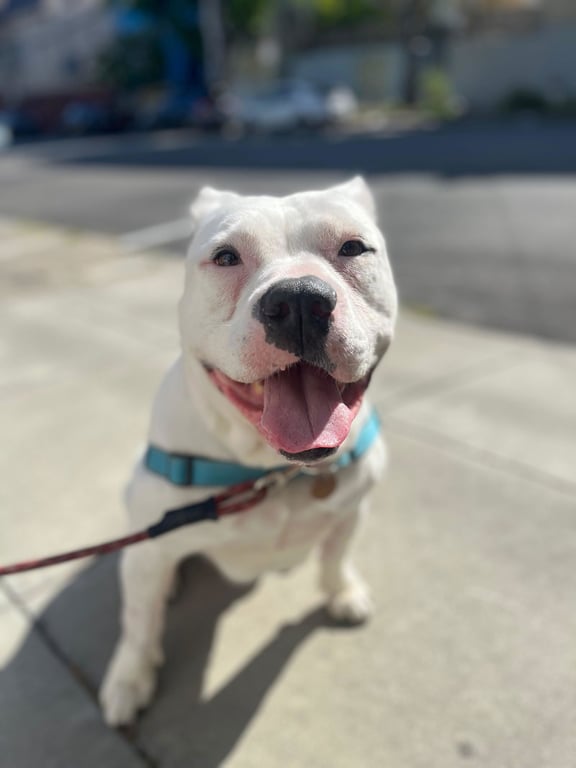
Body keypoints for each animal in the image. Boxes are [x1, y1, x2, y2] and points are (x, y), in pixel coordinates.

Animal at [100, 176, 398, 726]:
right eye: (225, 257)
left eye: (353, 247)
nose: (299, 300)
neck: (270, 470)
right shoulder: (148, 553)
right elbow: (138, 622)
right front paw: (130, 678)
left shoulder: (352, 510)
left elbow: (336, 557)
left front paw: (342, 592)